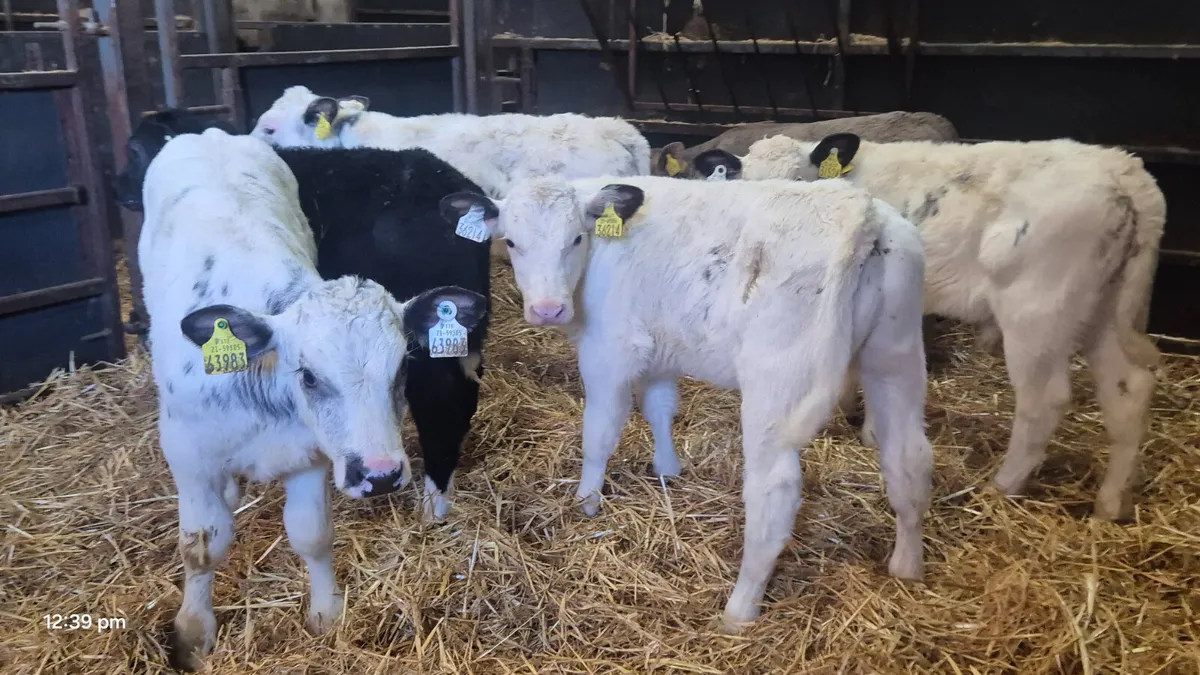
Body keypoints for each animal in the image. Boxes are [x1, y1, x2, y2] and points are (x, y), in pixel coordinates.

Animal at [438, 174, 933, 631]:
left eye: (575, 238)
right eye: (512, 242)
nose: (547, 309)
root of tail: (860, 208)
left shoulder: (608, 352)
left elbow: (599, 432)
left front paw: (586, 502)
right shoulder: (659, 350)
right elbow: (660, 407)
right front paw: (667, 469)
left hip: (779, 383)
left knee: (774, 494)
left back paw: (740, 609)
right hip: (896, 356)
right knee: (908, 461)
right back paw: (906, 567)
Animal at [694, 133, 1166, 520]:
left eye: (801, 179)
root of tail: (1124, 169)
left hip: (1037, 311)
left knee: (1044, 400)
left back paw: (1003, 486)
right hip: (1103, 309)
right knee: (1128, 389)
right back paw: (1111, 504)